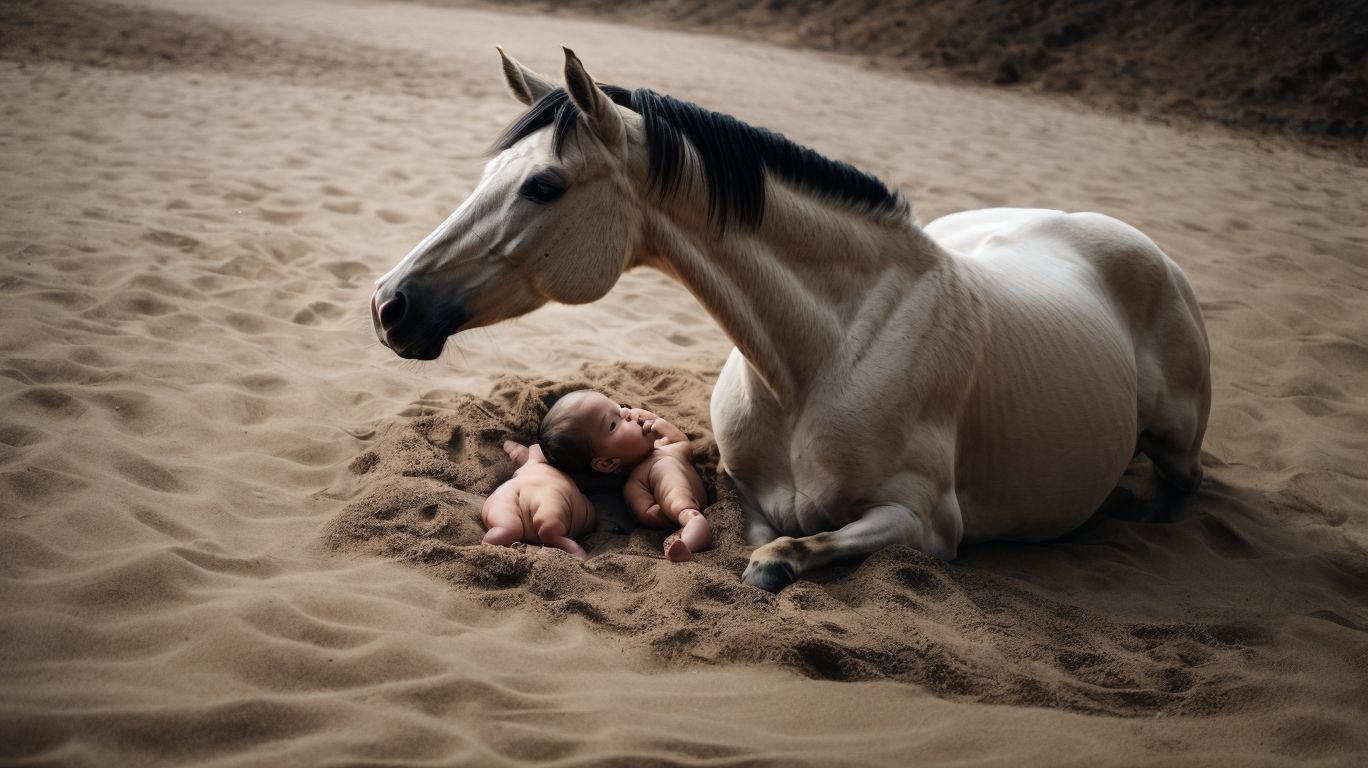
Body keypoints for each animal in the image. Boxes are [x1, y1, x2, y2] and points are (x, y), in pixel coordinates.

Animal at [370, 48, 1211, 592]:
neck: (826, 362)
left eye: (542, 185)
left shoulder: (927, 525)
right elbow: (759, 536)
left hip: (1176, 444)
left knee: (1180, 489)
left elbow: (777, 560)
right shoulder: (750, 496)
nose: (390, 305)